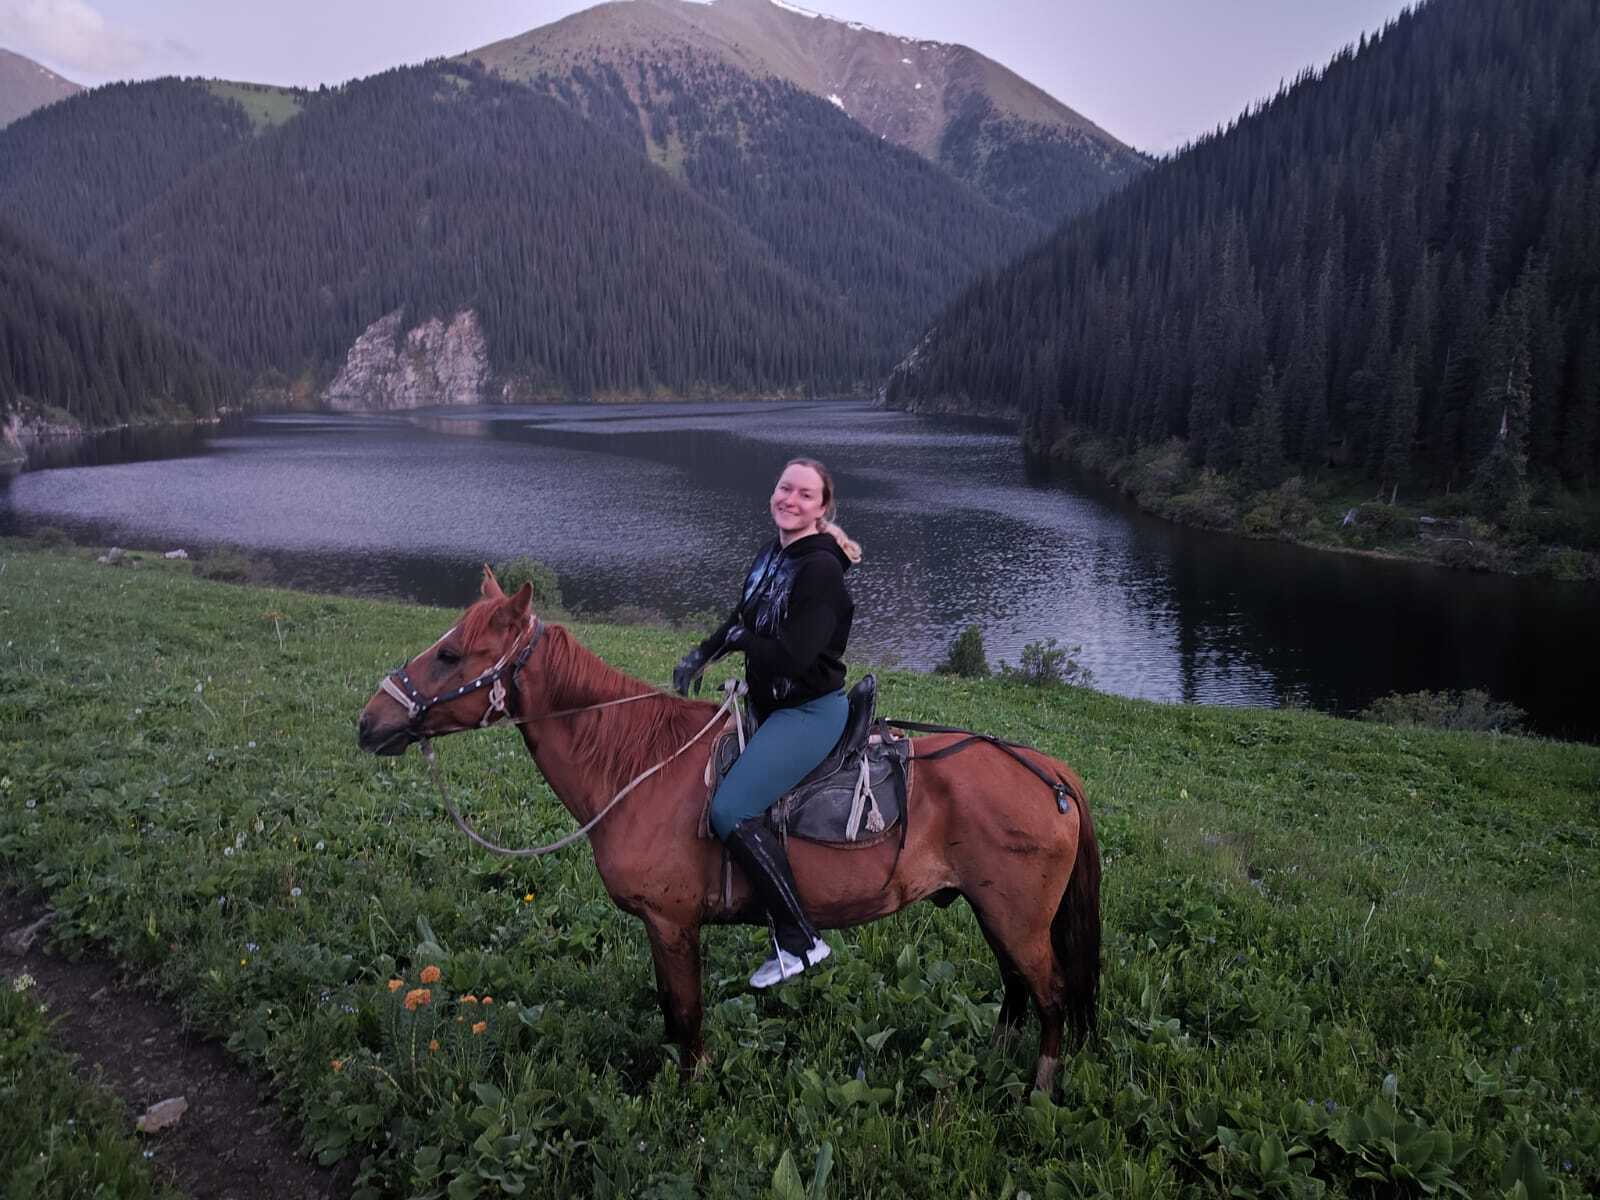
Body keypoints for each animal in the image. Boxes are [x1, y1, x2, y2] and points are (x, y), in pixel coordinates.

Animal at [357, 568, 1100, 1093]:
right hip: (994, 909)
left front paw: (692, 1089)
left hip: (1015, 916)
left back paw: (1039, 1090)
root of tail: (1050, 772)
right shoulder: (663, 925)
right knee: (1015, 987)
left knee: (1052, 996)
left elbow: (685, 1013)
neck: (638, 764)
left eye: (451, 655)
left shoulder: (671, 922)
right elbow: (672, 1007)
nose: (369, 722)